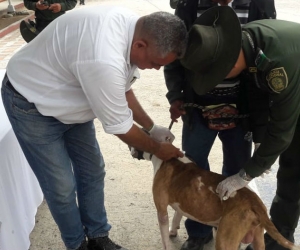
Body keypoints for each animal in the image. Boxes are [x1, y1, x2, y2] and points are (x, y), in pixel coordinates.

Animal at [131, 148, 300, 250]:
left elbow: (165, 235)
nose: (130, 148)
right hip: (257, 238)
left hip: (225, 240)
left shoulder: (161, 210)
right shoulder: (181, 202)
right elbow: (177, 216)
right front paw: (173, 230)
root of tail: (253, 200)